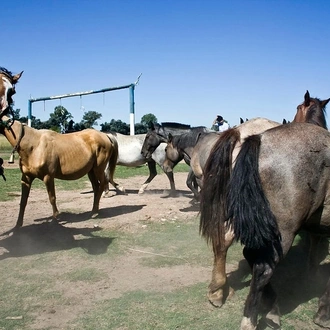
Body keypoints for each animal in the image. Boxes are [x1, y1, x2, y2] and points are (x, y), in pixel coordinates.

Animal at [0, 68, 118, 228]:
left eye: (11, 91)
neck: (32, 145)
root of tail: (106, 136)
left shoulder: (48, 177)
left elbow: (52, 198)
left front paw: (56, 220)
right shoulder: (26, 178)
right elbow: (23, 202)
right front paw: (18, 226)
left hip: (98, 168)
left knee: (101, 186)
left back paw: (95, 212)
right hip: (91, 170)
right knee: (96, 187)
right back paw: (93, 211)